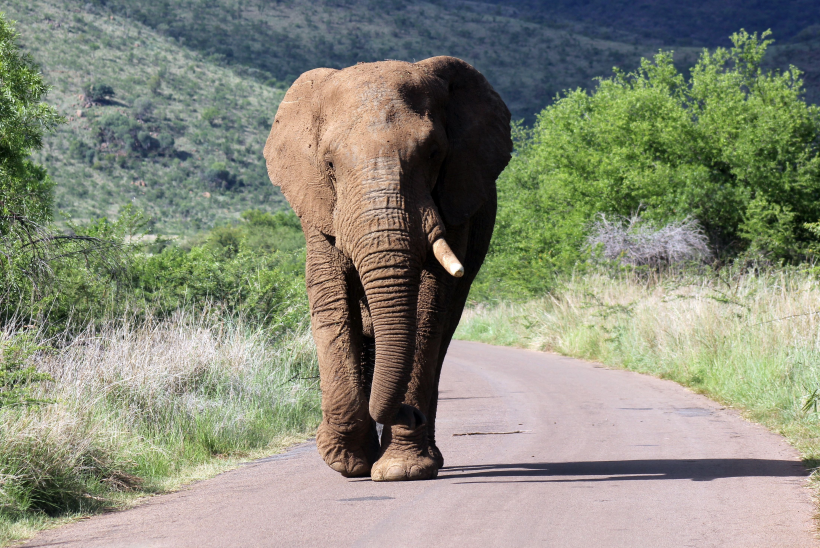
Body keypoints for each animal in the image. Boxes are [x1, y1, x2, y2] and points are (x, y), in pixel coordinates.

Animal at [263, 56, 511, 481]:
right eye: (329, 163)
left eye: (433, 153)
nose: (409, 415)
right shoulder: (317, 205)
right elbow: (331, 299)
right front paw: (345, 463)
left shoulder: (455, 195)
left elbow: (429, 306)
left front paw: (401, 470)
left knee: (441, 335)